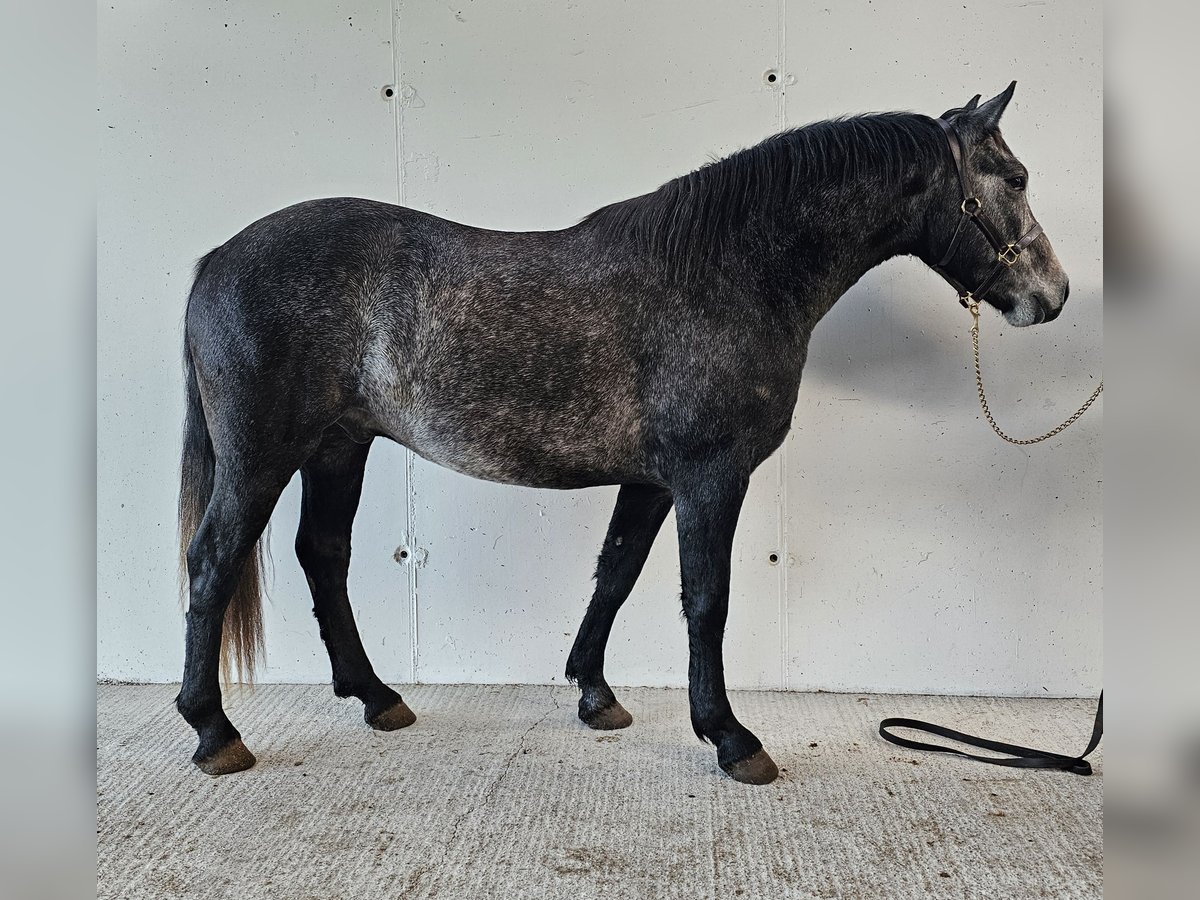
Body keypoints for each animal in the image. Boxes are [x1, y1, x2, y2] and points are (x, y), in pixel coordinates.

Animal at [176, 82, 1068, 785]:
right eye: (1015, 178)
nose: (1053, 295)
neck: (730, 271)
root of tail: (219, 258)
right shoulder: (711, 476)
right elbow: (706, 598)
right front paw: (730, 737)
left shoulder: (650, 480)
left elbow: (617, 573)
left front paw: (595, 695)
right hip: (261, 457)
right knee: (214, 561)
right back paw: (214, 731)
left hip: (339, 447)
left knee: (323, 556)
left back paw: (377, 697)